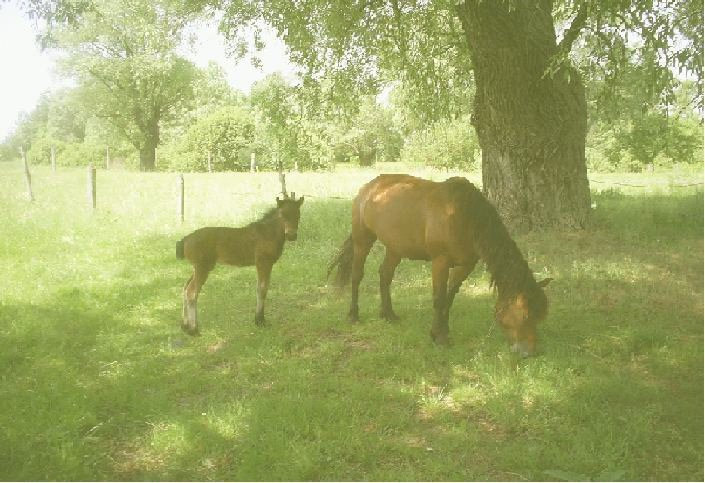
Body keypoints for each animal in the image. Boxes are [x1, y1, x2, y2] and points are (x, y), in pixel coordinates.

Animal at [176, 195, 304, 335]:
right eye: (282, 215)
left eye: (298, 215)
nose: (291, 235)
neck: (268, 233)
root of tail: (185, 239)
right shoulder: (263, 262)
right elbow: (262, 289)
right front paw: (260, 320)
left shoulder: (265, 264)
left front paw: (258, 319)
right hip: (202, 267)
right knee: (191, 292)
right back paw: (193, 329)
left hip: (197, 268)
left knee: (185, 288)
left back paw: (184, 325)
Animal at [327, 174, 551, 357]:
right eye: (525, 314)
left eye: (541, 316)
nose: (529, 352)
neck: (464, 216)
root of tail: (369, 187)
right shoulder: (440, 262)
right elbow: (438, 299)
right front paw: (438, 337)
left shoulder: (466, 265)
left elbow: (449, 298)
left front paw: (445, 330)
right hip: (362, 239)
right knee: (357, 275)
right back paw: (353, 315)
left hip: (395, 247)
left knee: (385, 275)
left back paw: (389, 315)